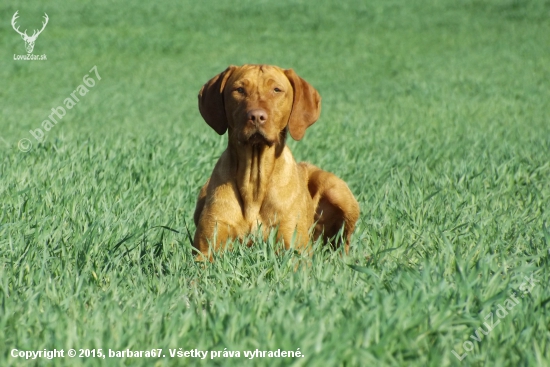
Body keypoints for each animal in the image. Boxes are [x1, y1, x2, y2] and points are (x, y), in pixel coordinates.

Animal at [195, 64, 362, 260]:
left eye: (276, 90)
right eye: (239, 90)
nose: (256, 116)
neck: (254, 182)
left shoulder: (295, 249)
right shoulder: (206, 250)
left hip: (336, 190)